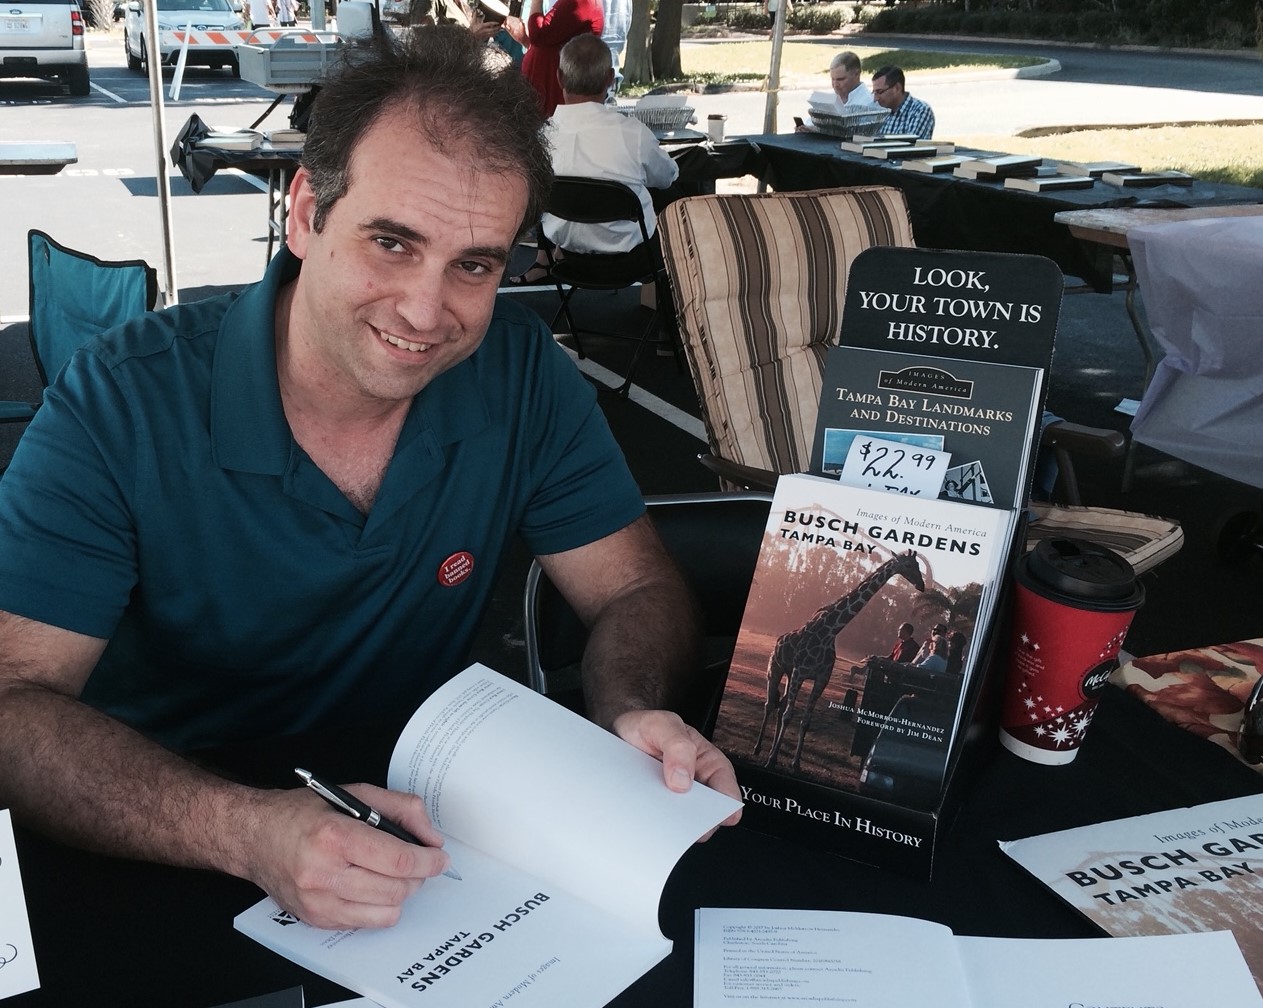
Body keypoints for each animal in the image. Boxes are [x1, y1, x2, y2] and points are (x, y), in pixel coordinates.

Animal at [747, 553, 929, 773]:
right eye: (909, 565)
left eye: (918, 565)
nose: (921, 585)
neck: (830, 632)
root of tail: (777, 642)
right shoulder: (800, 672)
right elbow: (789, 716)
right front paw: (772, 759)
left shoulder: (820, 679)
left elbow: (805, 720)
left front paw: (796, 763)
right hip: (776, 669)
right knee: (769, 705)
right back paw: (758, 748)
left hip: (790, 675)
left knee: (780, 706)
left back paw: (771, 749)